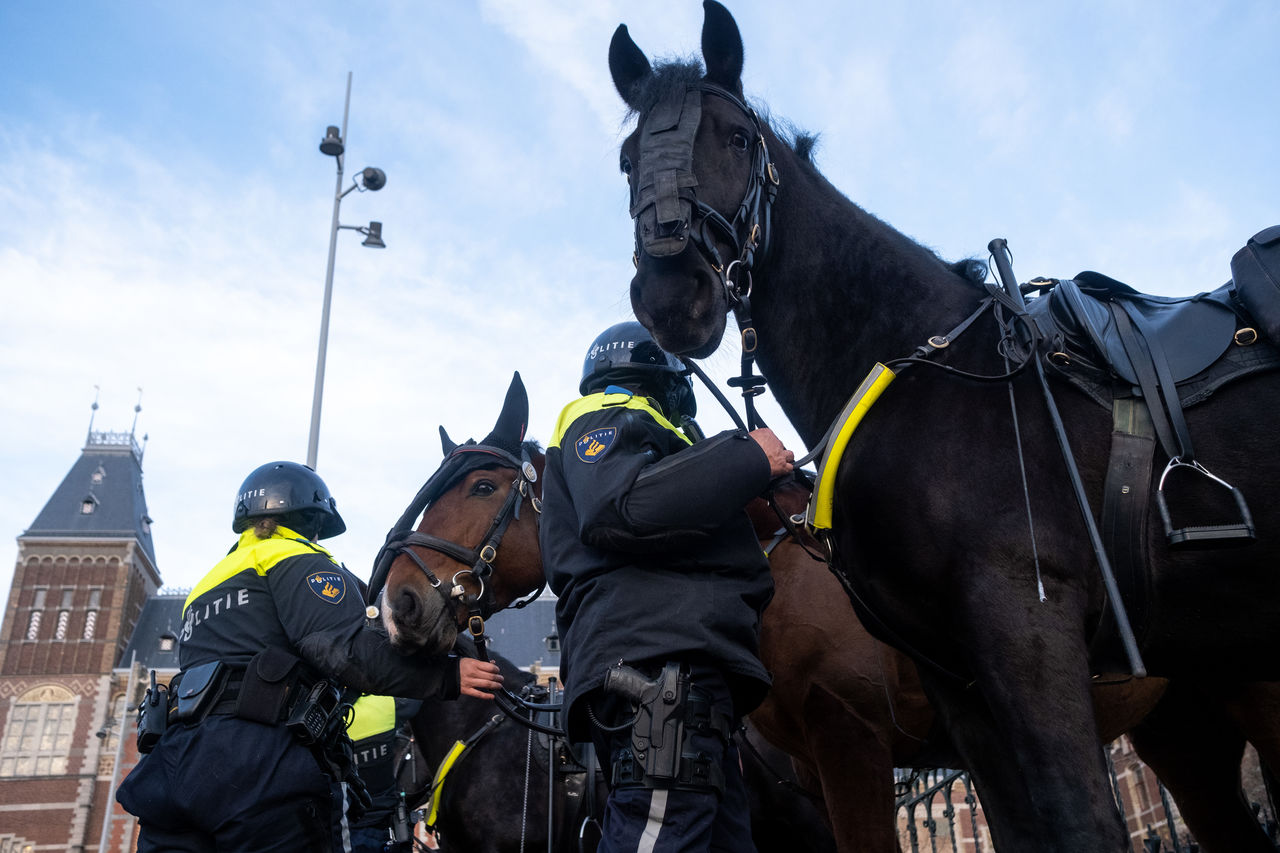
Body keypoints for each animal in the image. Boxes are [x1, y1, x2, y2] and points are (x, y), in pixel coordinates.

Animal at [604, 3, 1280, 845]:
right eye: (628, 158)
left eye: (732, 135)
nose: (674, 292)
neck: (928, 369)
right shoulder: (960, 682)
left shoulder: (1023, 634)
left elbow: (1081, 819)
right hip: (1192, 710)